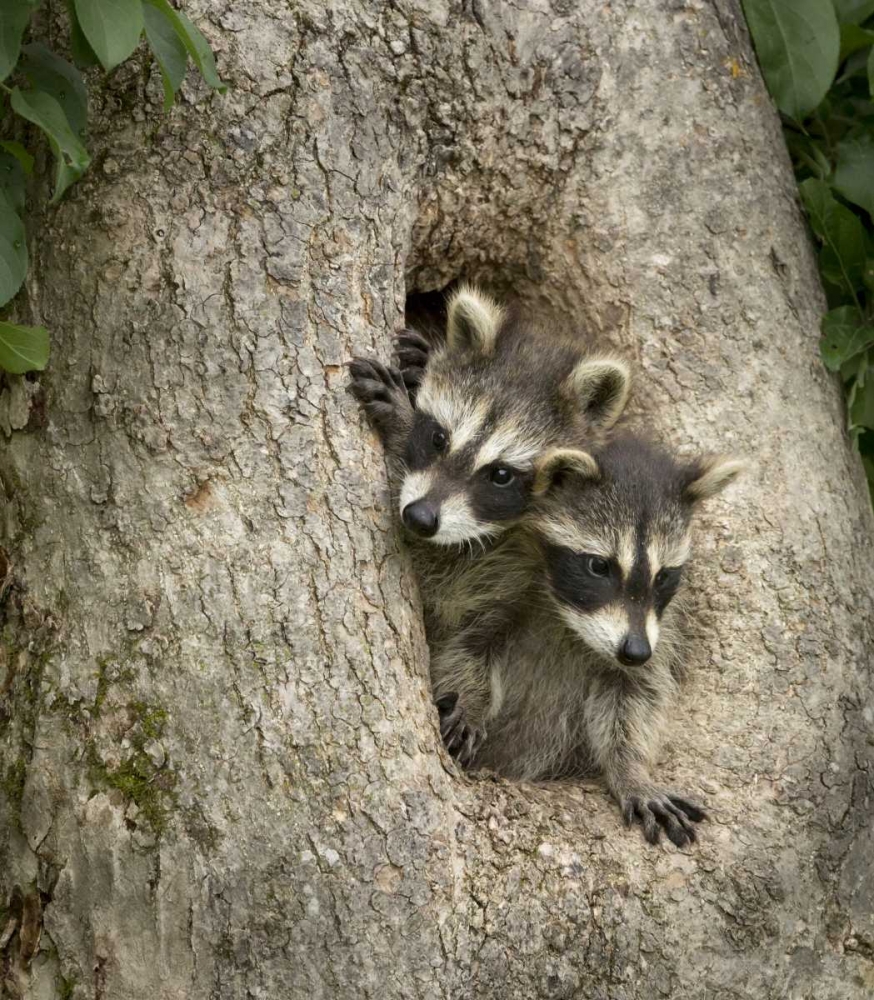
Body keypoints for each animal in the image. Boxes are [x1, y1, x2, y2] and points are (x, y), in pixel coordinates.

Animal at [432, 434, 740, 848]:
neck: (568, 618)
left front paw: (631, 770)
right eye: (599, 566)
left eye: (663, 576)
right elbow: (464, 647)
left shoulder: (656, 631)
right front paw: (472, 700)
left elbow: (633, 695)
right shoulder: (493, 576)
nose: (635, 651)